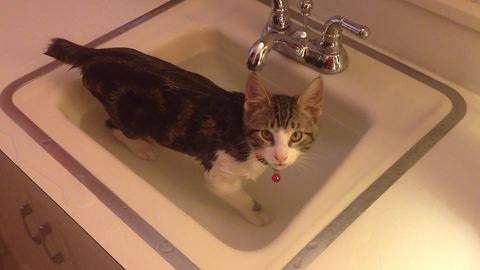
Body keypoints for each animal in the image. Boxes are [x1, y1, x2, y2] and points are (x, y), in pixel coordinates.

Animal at [45, 38, 324, 226]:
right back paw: (142, 147)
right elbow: (238, 196)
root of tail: (96, 54)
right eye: (266, 134)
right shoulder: (218, 174)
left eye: (296, 136)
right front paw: (258, 214)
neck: (246, 141)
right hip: (129, 114)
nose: (280, 157)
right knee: (114, 127)